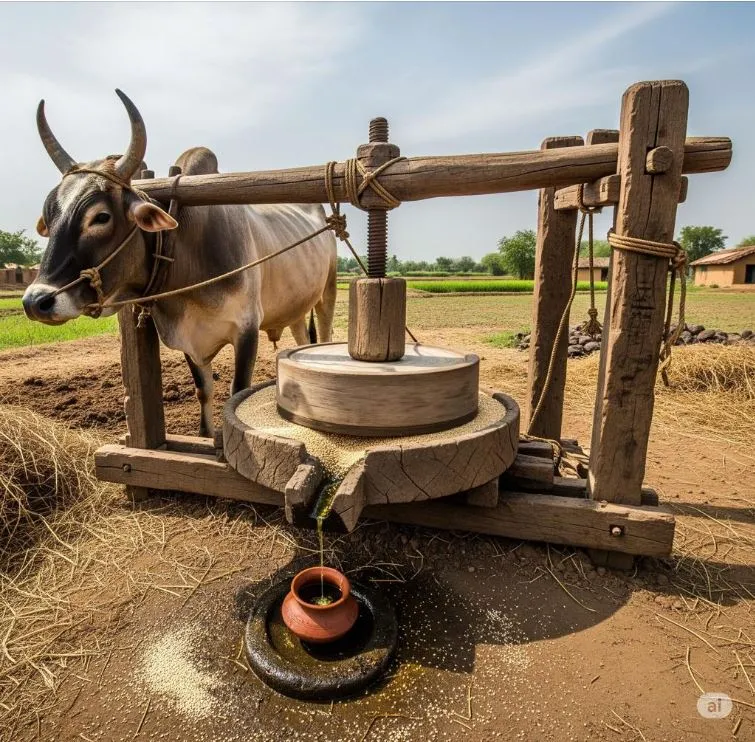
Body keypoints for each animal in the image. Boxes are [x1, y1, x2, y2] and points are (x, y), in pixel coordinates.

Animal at [23, 90, 337, 436]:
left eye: (101, 217)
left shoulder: (247, 329)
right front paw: (205, 435)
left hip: (327, 293)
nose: (36, 302)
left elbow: (237, 391)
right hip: (295, 307)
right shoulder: (188, 340)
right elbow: (204, 390)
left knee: (323, 335)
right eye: (49, 216)